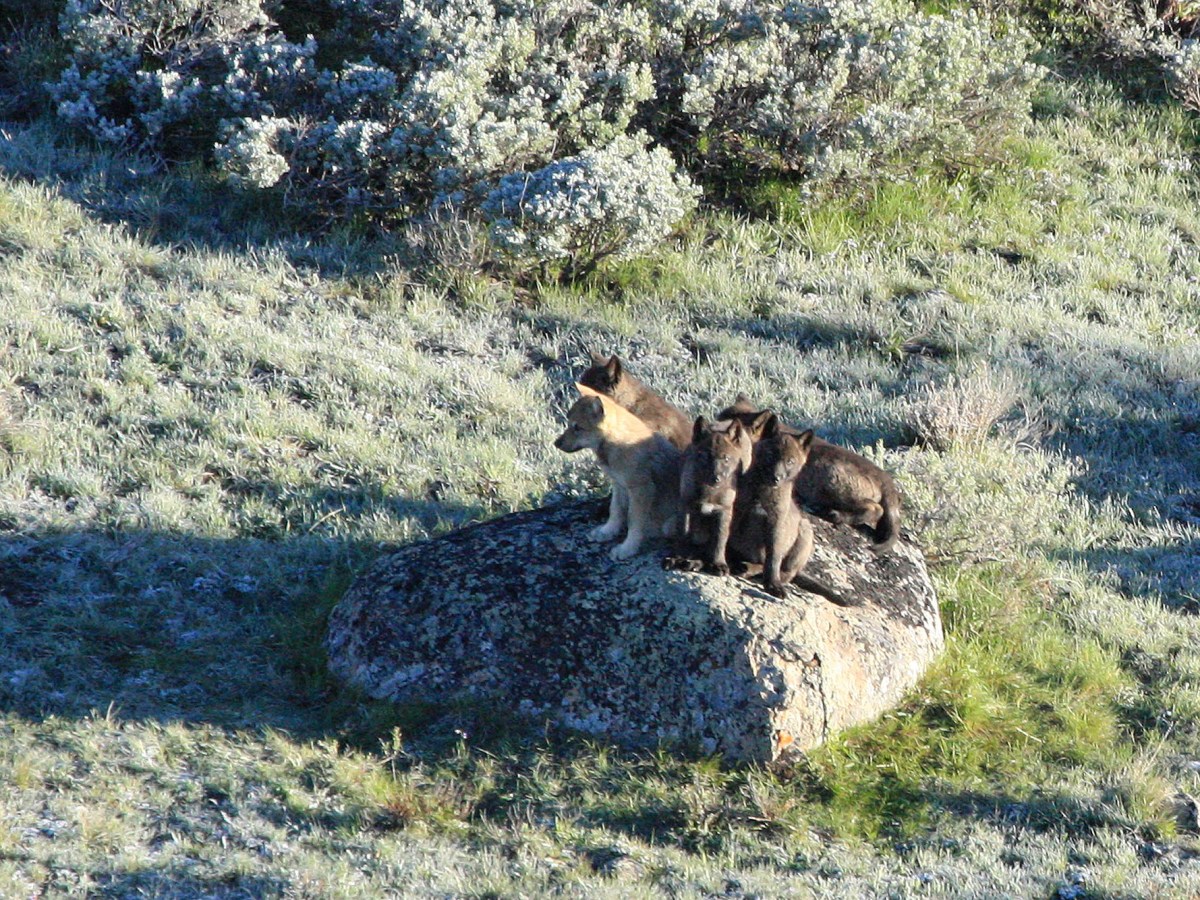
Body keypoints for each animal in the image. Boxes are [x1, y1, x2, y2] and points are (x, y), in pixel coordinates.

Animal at [554, 384, 683, 560]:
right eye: (568, 424)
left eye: (577, 427)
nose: (556, 443)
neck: (615, 443)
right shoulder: (618, 484)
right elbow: (615, 511)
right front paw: (607, 531)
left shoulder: (640, 489)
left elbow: (633, 521)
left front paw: (627, 548)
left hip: (670, 525)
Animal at [719, 395, 902, 554]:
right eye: (719, 417)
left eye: (731, 425)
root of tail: (887, 481)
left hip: (832, 482)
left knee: (875, 509)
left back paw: (836, 515)